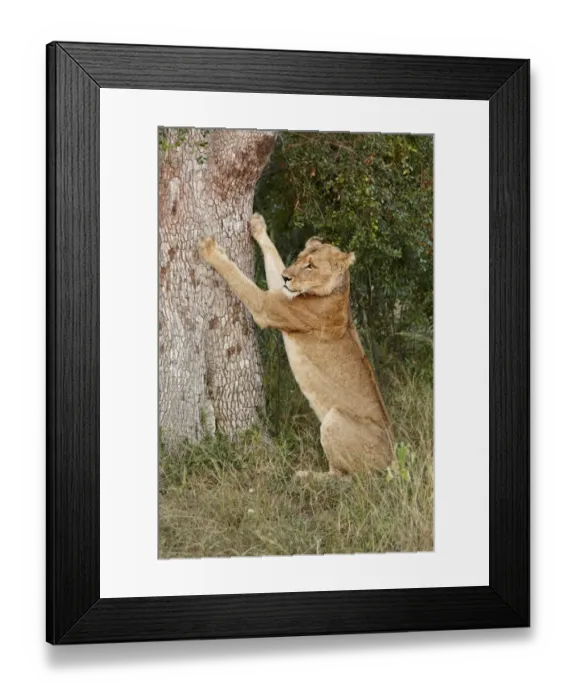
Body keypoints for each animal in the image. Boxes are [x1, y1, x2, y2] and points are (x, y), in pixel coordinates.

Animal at [198, 213, 395, 477]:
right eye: (299, 258)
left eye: (310, 266)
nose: (286, 277)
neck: (339, 292)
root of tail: (393, 458)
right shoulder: (281, 294)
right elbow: (274, 259)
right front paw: (258, 226)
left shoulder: (267, 307)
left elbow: (238, 278)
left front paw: (210, 250)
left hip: (335, 420)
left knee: (346, 477)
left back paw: (305, 476)